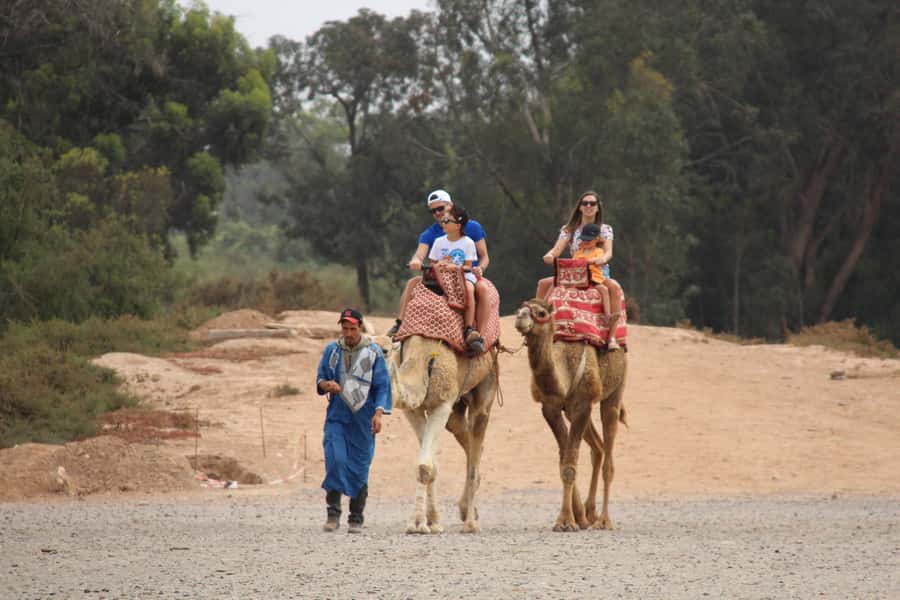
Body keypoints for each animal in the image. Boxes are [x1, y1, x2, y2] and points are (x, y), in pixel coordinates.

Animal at [375, 334, 497, 534]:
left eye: (385, 350)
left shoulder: (442, 404)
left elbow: (425, 466)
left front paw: (418, 524)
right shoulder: (413, 410)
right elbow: (430, 466)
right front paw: (431, 521)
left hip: (485, 386)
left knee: (477, 430)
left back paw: (470, 523)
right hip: (457, 409)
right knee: (468, 441)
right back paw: (466, 509)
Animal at [514, 298, 627, 531]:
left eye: (540, 312)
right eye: (520, 308)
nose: (520, 317)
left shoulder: (582, 405)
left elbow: (569, 463)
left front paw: (566, 521)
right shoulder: (551, 408)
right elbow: (564, 460)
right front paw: (577, 517)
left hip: (615, 391)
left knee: (608, 458)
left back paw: (604, 521)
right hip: (577, 413)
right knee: (598, 448)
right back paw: (590, 513)